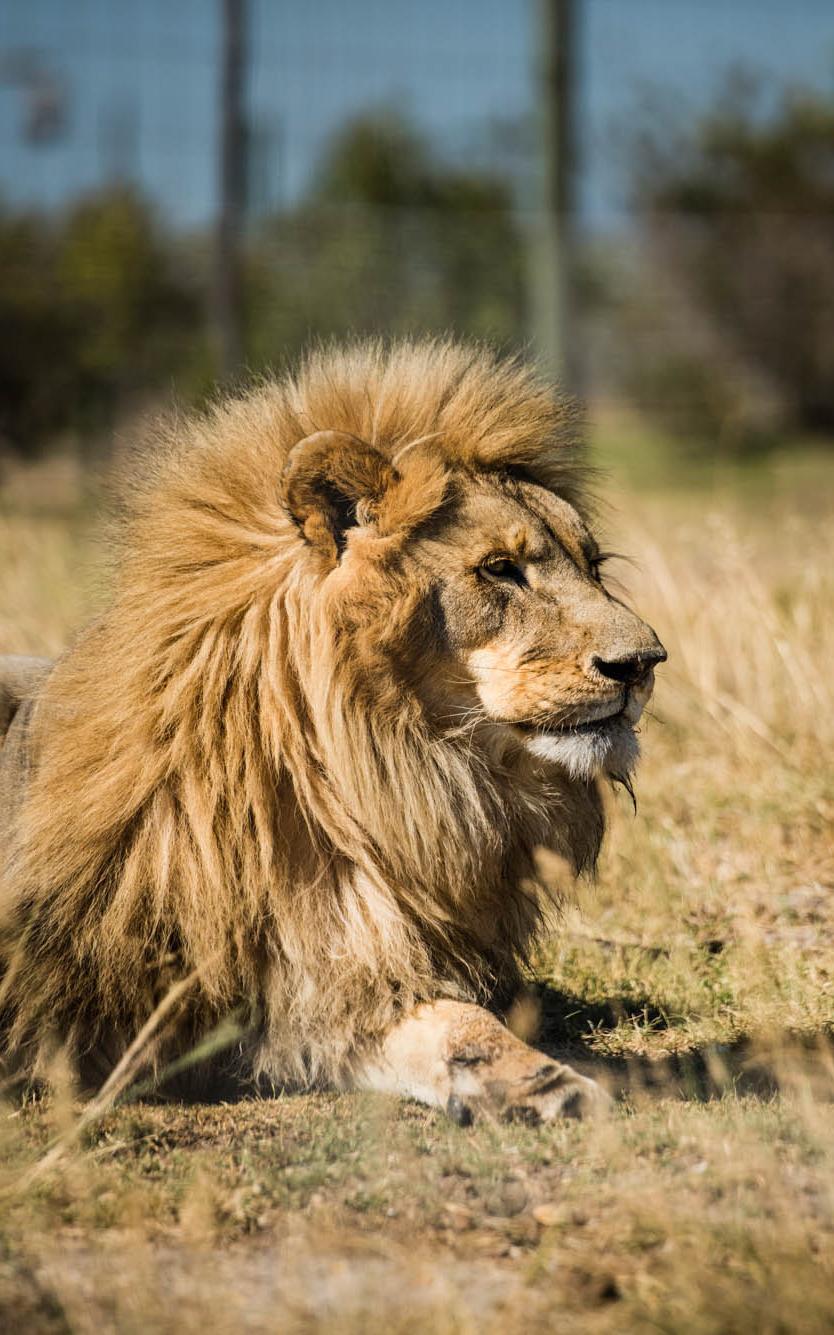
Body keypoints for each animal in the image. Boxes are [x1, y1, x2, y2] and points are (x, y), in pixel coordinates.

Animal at [0, 339, 665, 1123]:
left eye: (593, 566)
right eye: (500, 569)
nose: (645, 663)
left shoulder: (335, 977)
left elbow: (456, 1022)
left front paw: (544, 1083)